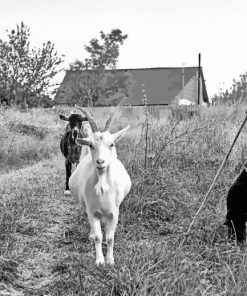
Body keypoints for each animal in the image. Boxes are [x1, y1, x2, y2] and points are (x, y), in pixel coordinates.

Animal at [69, 106, 131, 266]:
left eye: (111, 144)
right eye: (91, 145)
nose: (100, 162)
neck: (102, 186)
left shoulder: (114, 212)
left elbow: (109, 238)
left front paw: (110, 260)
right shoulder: (92, 211)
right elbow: (98, 237)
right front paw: (99, 261)